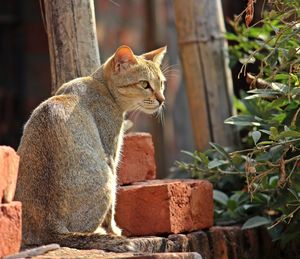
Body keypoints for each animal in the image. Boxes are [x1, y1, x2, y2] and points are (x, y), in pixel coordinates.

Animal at [14, 44, 166, 252]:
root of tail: (51, 228)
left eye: (162, 84)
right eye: (144, 84)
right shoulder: (111, 155)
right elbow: (112, 210)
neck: (100, 85)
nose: (162, 99)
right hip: (107, 179)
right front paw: (114, 231)